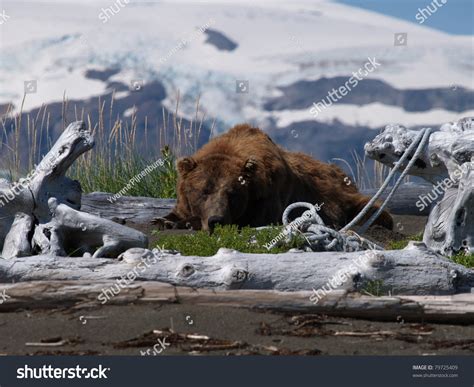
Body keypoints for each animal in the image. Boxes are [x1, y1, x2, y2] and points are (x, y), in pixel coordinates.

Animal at [154, 125, 394, 233]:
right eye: (203, 191)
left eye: (232, 193)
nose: (216, 219)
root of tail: (342, 173)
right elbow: (178, 211)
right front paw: (166, 219)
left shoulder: (266, 201)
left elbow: (253, 219)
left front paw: (182, 222)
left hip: (342, 195)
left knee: (369, 208)